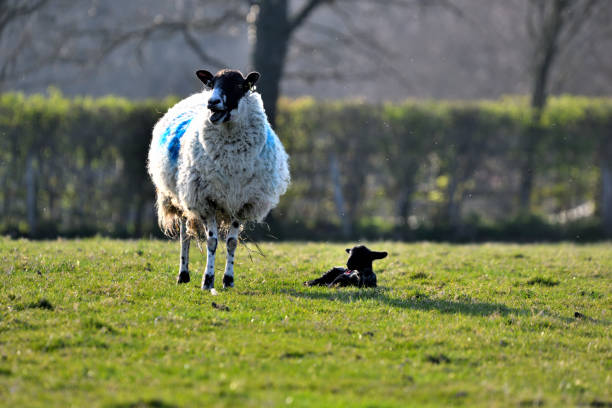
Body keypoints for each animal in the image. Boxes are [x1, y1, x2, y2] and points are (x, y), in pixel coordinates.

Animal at [148, 67, 292, 290]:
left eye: (239, 85)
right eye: (212, 84)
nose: (212, 102)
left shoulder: (242, 203)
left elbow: (232, 243)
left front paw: (228, 280)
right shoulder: (206, 201)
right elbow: (212, 242)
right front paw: (207, 280)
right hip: (181, 196)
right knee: (184, 236)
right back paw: (183, 274)